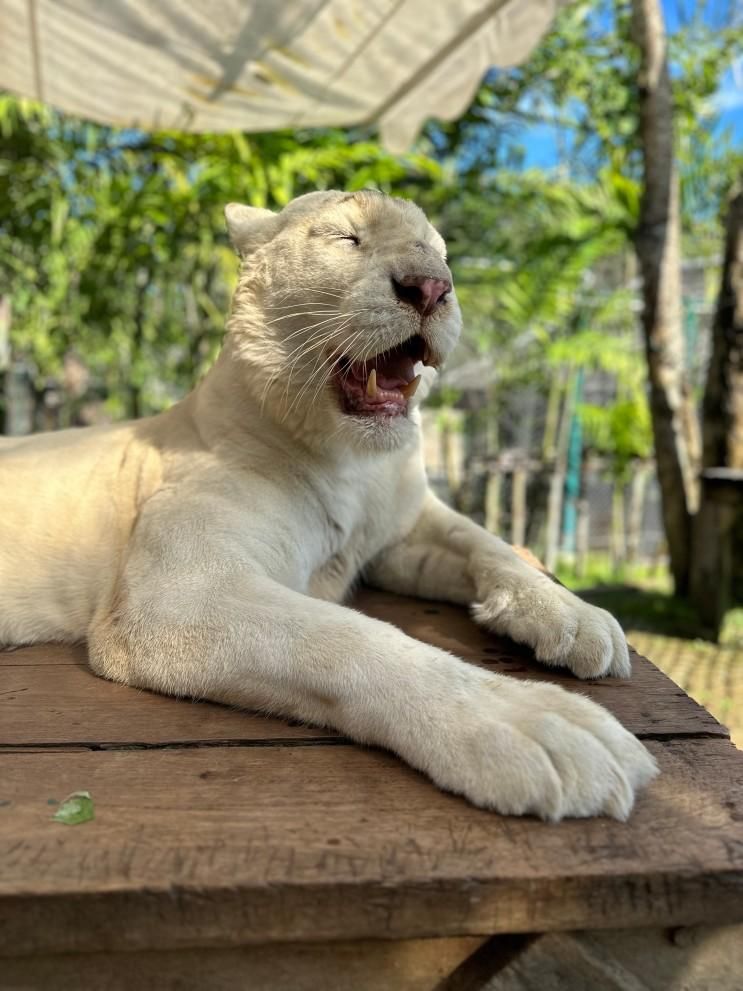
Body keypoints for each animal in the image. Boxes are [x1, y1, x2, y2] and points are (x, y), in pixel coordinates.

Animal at [0, 190, 656, 816]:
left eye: (436, 251)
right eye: (347, 238)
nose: (431, 287)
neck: (348, 461)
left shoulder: (401, 530)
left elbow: (485, 542)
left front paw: (573, 617)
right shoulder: (173, 593)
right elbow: (352, 637)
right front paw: (538, 728)